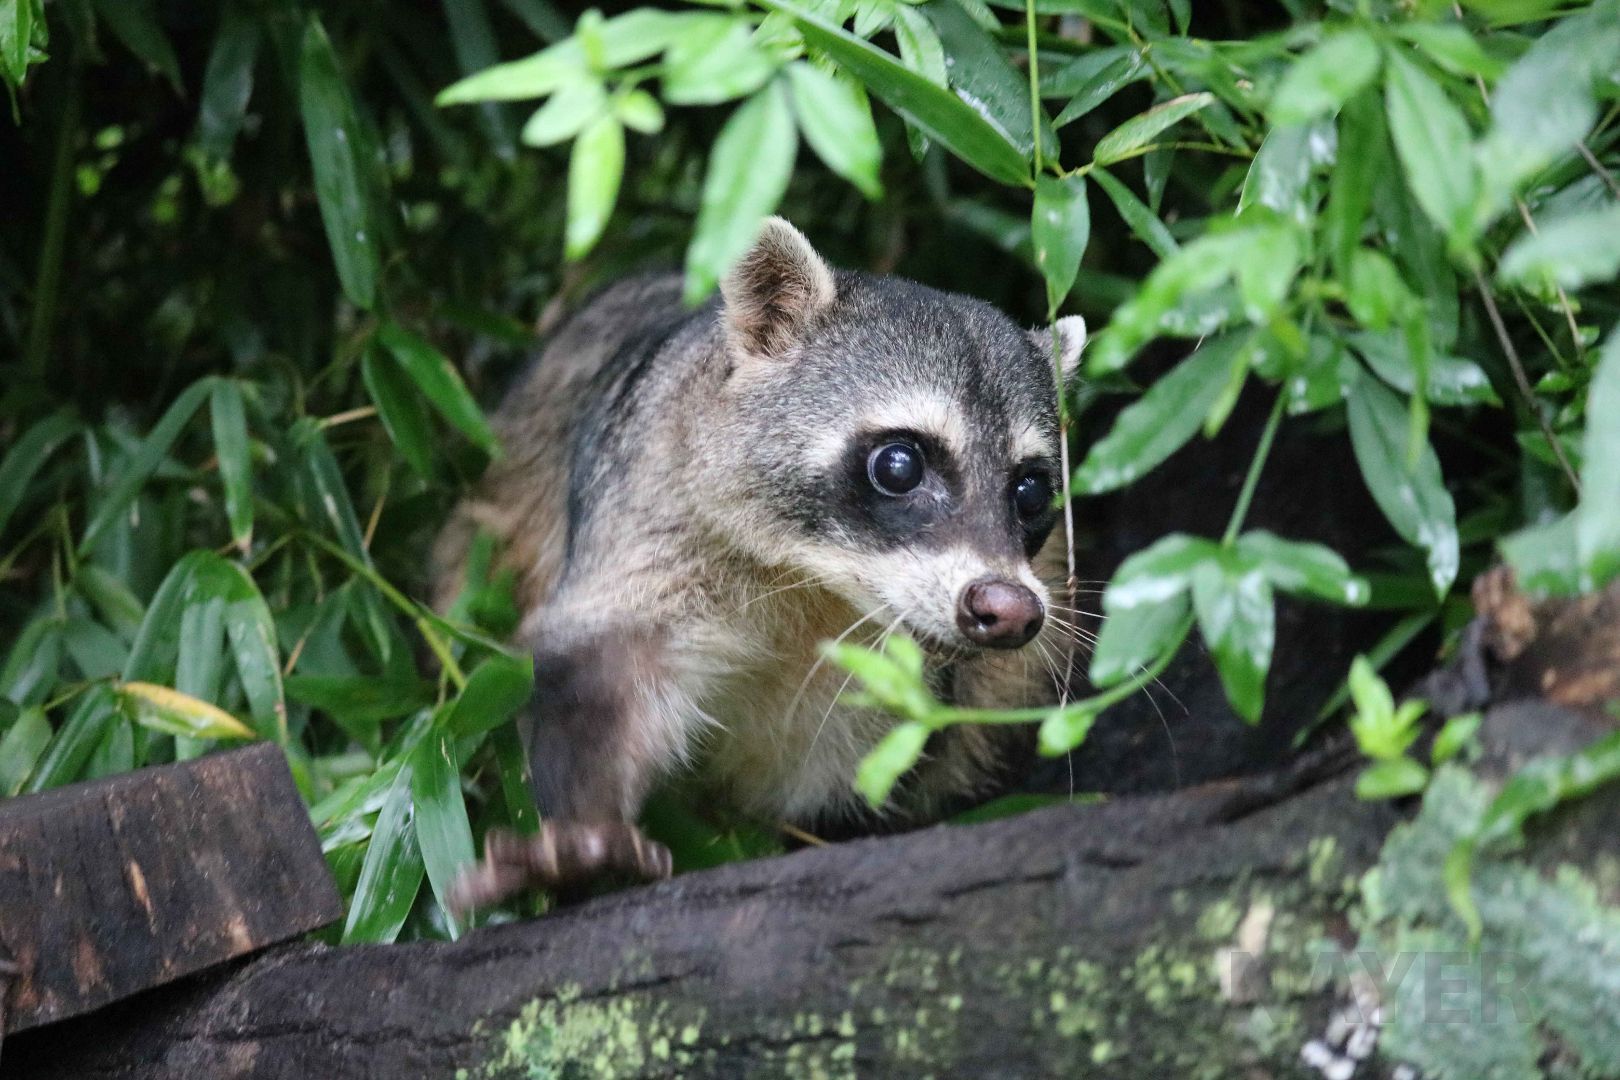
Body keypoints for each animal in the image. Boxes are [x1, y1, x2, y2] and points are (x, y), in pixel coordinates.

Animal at [437, 219, 1085, 909]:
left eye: (1031, 492)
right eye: (899, 464)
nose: (1009, 609)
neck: (815, 577)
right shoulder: (651, 498)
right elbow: (605, 662)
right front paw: (586, 831)